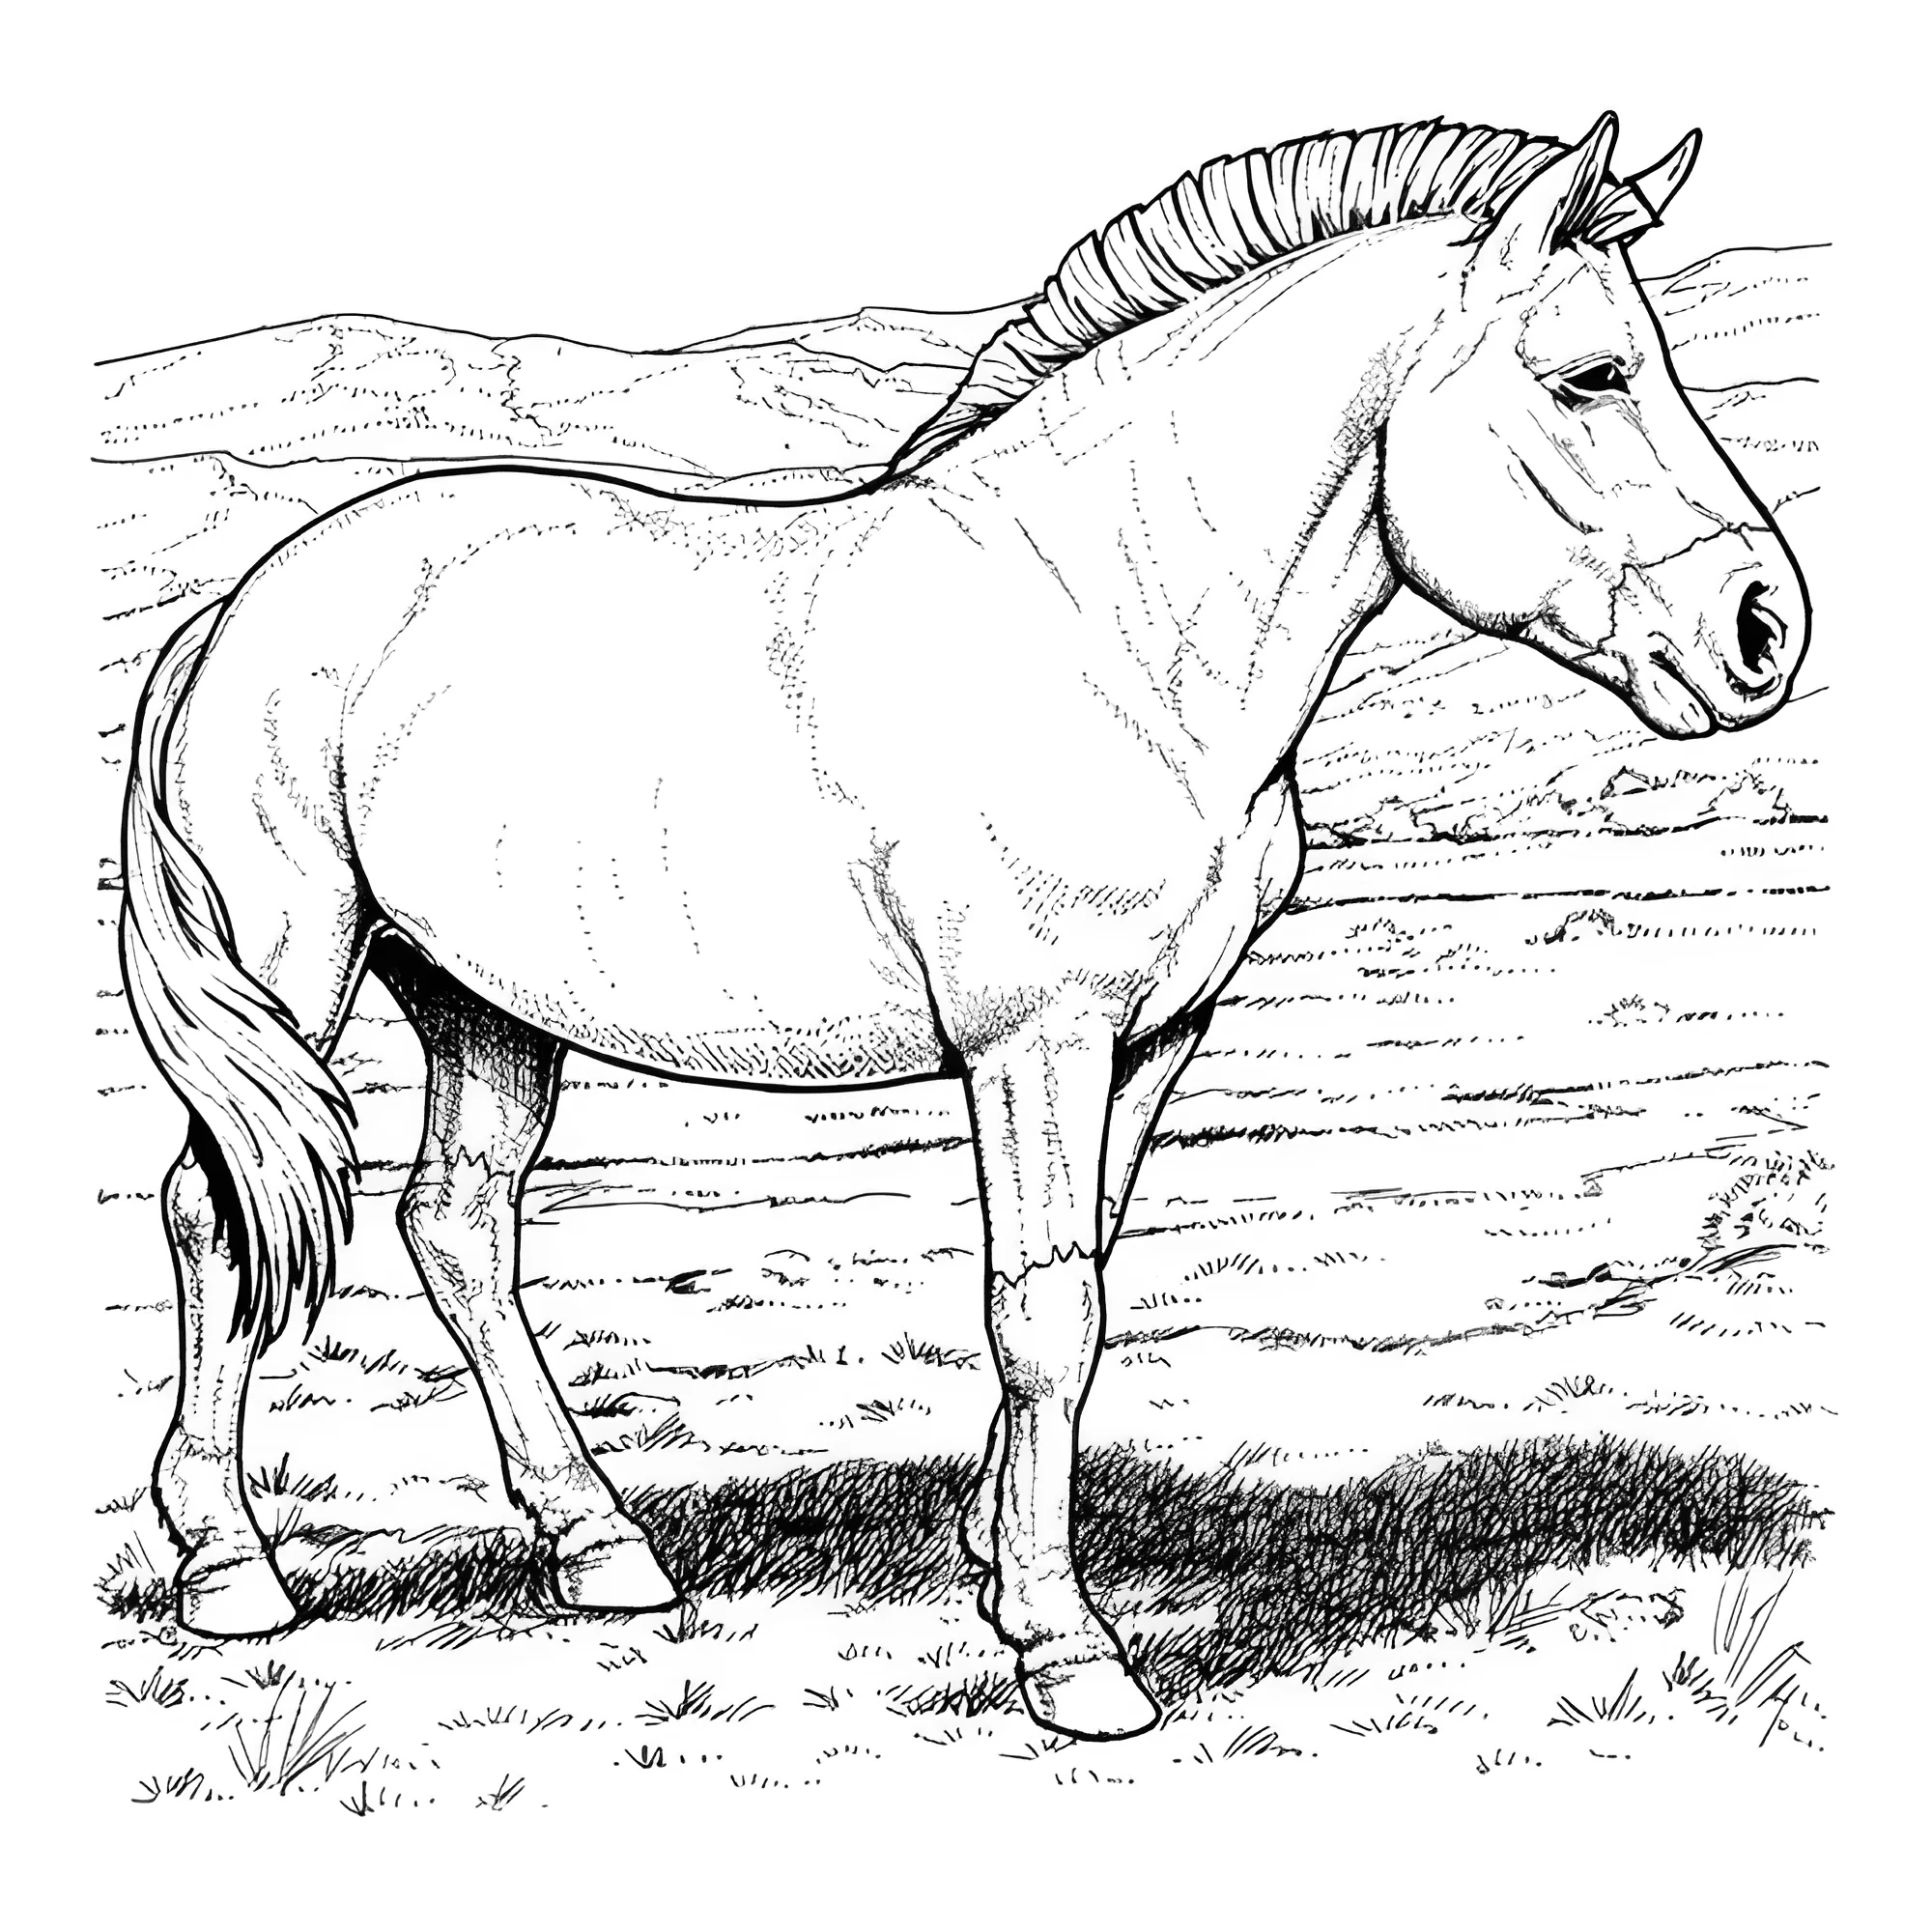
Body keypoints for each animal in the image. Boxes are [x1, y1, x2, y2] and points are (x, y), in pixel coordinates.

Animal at [120, 113, 1809, 1741]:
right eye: (1590, 374)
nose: (1762, 631)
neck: (1113, 630)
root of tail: (235, 608)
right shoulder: (1034, 1042)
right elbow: (1043, 1311)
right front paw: (1072, 1658)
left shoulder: (1155, 1037)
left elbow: (1084, 1281)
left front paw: (1001, 1566)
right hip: (295, 969)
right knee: (217, 1213)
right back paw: (232, 1572)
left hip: (475, 997)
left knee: (459, 1224)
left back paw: (598, 1549)